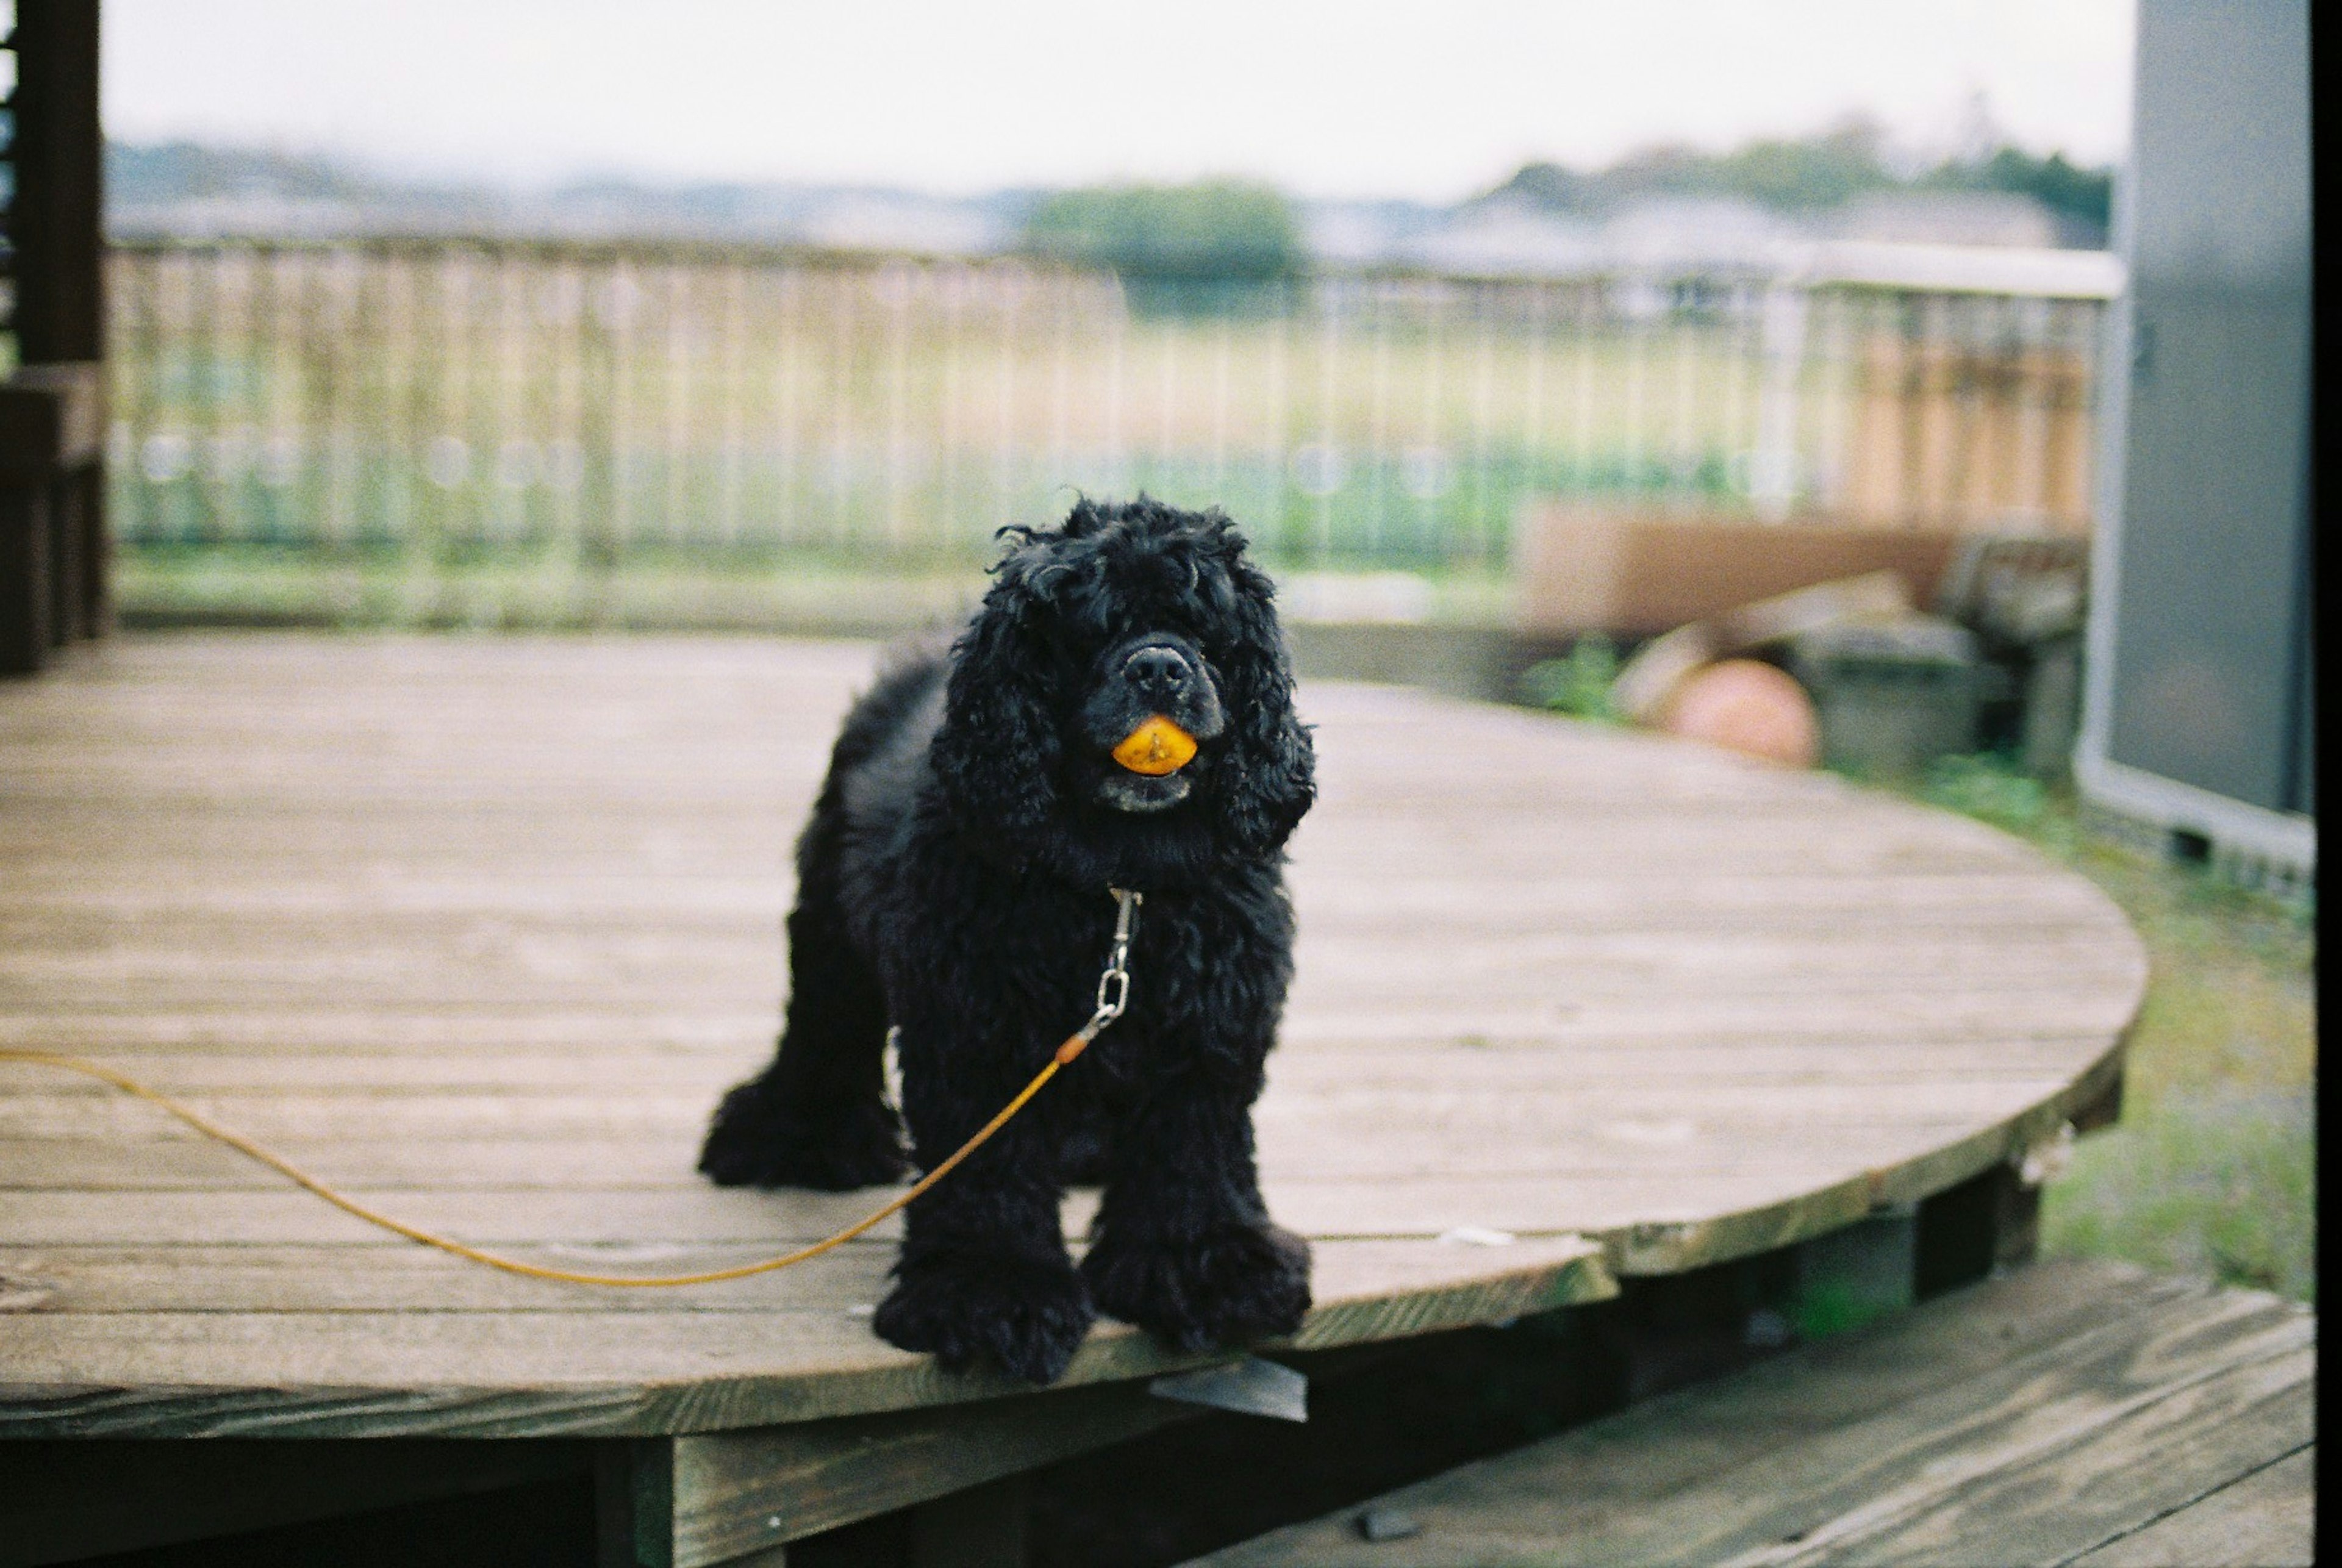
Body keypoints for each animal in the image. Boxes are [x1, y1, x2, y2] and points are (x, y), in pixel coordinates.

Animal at [693, 498, 1320, 1385]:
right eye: (1087, 632)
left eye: (1205, 632)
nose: (1160, 668)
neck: (1121, 884)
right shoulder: (977, 1029)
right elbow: (991, 1172)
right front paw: (992, 1295)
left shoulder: (1211, 1027)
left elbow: (1195, 1150)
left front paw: (1210, 1270)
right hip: (828, 923)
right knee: (824, 1022)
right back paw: (796, 1135)